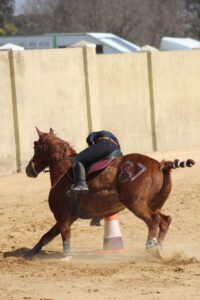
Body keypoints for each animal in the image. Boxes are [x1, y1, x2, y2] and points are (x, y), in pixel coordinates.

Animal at [25, 127, 195, 258]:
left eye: (36, 146)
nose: (28, 169)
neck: (63, 171)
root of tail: (160, 165)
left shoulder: (63, 216)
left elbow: (64, 236)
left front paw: (66, 257)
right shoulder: (67, 217)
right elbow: (46, 236)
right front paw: (29, 254)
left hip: (136, 204)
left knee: (153, 221)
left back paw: (150, 249)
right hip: (154, 204)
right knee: (165, 220)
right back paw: (158, 249)